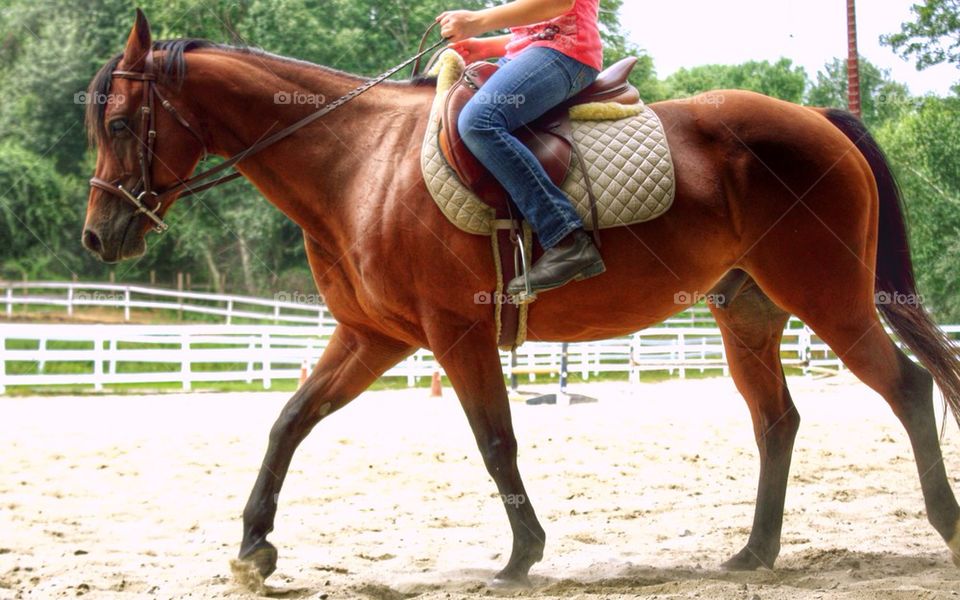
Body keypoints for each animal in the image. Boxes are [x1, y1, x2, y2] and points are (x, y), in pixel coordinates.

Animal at [80, 11, 960, 588]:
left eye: (120, 123)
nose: (98, 235)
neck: (358, 161)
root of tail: (816, 117)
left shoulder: (453, 333)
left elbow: (494, 440)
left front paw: (521, 554)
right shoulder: (371, 335)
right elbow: (290, 420)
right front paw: (253, 548)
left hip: (830, 297)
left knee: (909, 387)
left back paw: (945, 525)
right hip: (745, 310)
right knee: (777, 420)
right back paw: (754, 554)